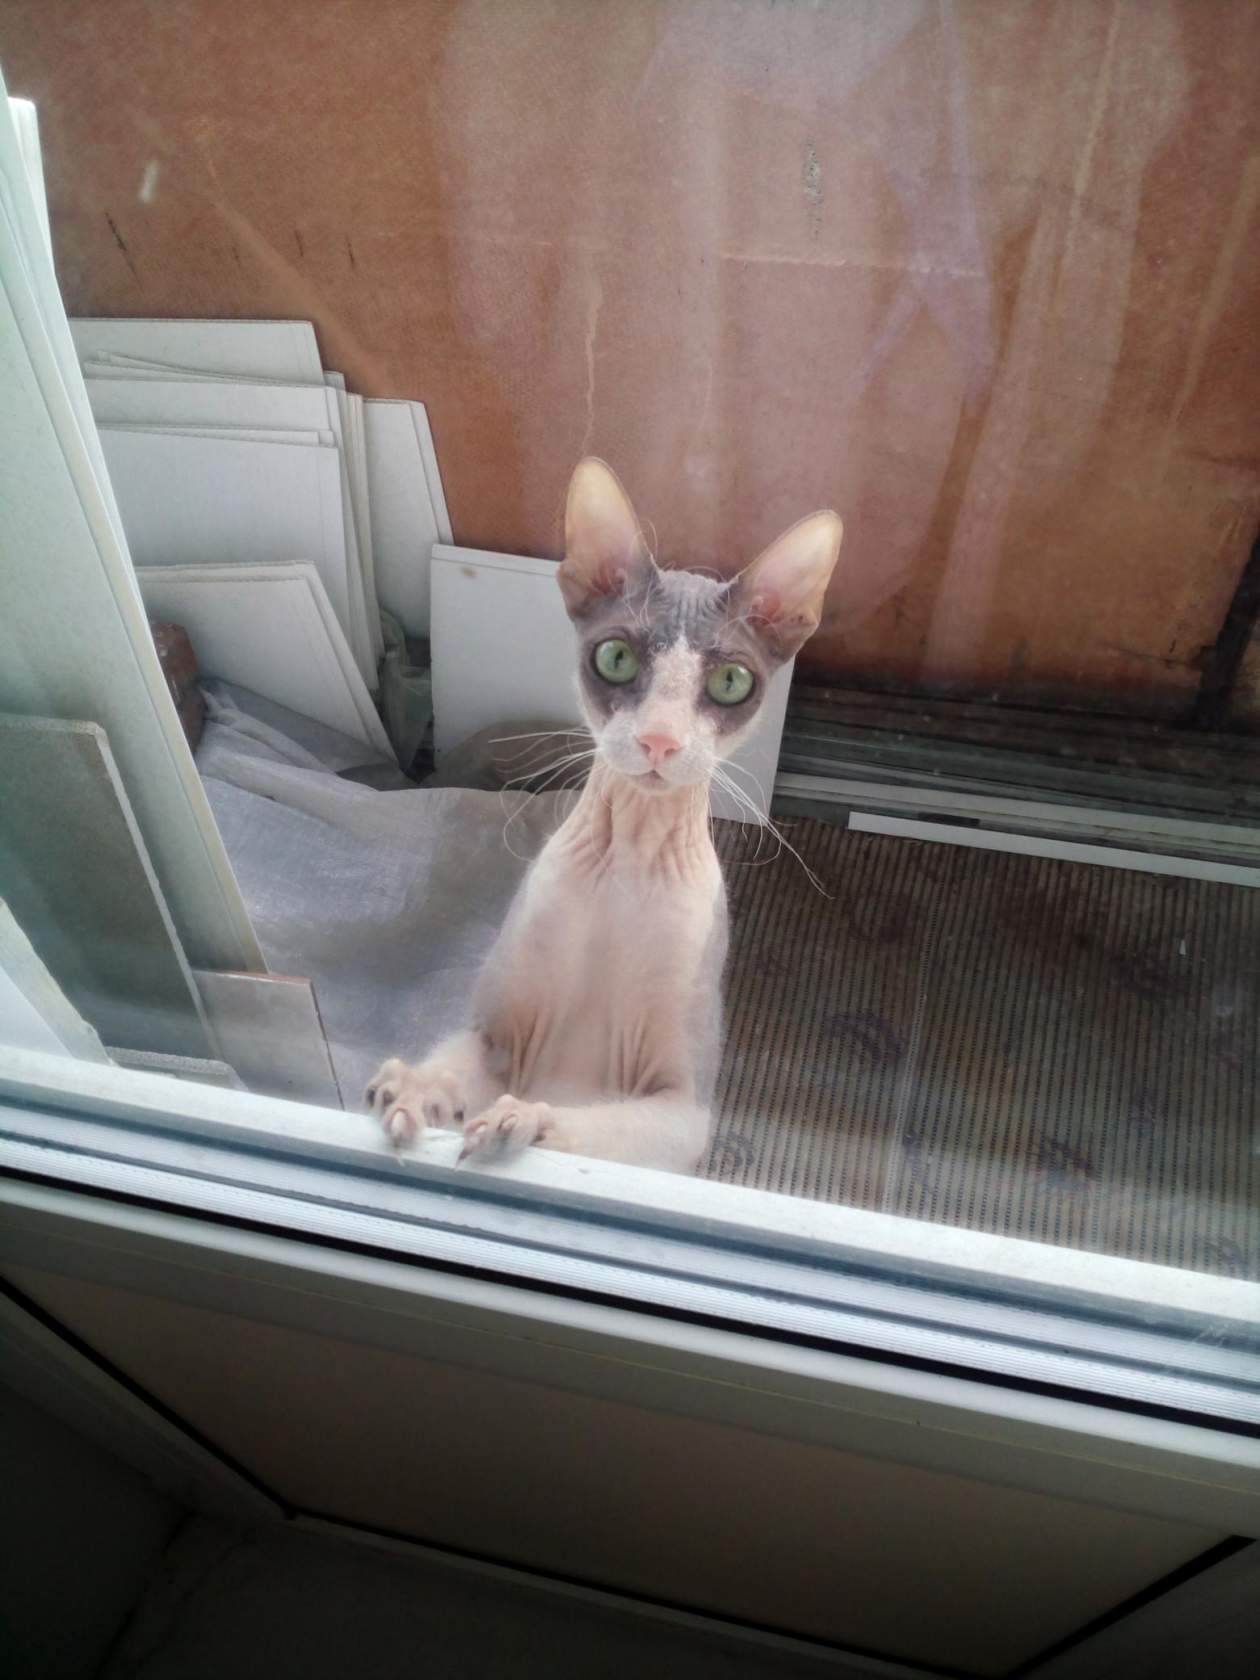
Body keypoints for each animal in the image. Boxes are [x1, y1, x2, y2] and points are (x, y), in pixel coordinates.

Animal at [369, 456, 843, 1169]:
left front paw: (522, 1118)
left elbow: (588, 1128)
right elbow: (454, 1062)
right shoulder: (492, 1037)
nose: (660, 740)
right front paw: (415, 1092)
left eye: (730, 681)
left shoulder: (683, 1111)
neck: (628, 864)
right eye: (616, 658)